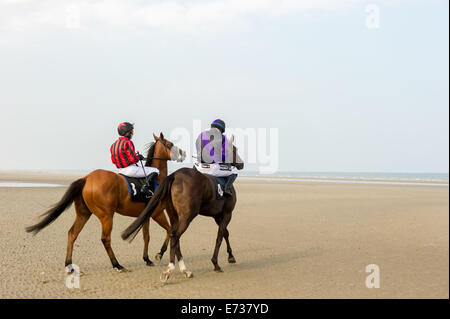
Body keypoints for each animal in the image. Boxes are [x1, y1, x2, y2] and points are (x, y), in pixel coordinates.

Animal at [25, 132, 186, 272]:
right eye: (170, 144)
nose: (183, 153)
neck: (157, 180)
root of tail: (87, 178)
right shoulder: (157, 213)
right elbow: (170, 231)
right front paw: (159, 253)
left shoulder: (146, 216)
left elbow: (146, 237)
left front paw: (147, 259)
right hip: (107, 216)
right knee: (105, 239)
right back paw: (117, 265)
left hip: (84, 214)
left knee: (72, 234)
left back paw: (69, 265)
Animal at [121, 135, 244, 282]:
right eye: (234, 149)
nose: (242, 164)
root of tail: (175, 175)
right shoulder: (227, 213)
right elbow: (220, 236)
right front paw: (216, 263)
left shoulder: (217, 215)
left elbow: (225, 233)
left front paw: (231, 256)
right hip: (187, 217)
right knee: (175, 236)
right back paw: (169, 270)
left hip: (174, 216)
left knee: (173, 234)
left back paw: (184, 270)